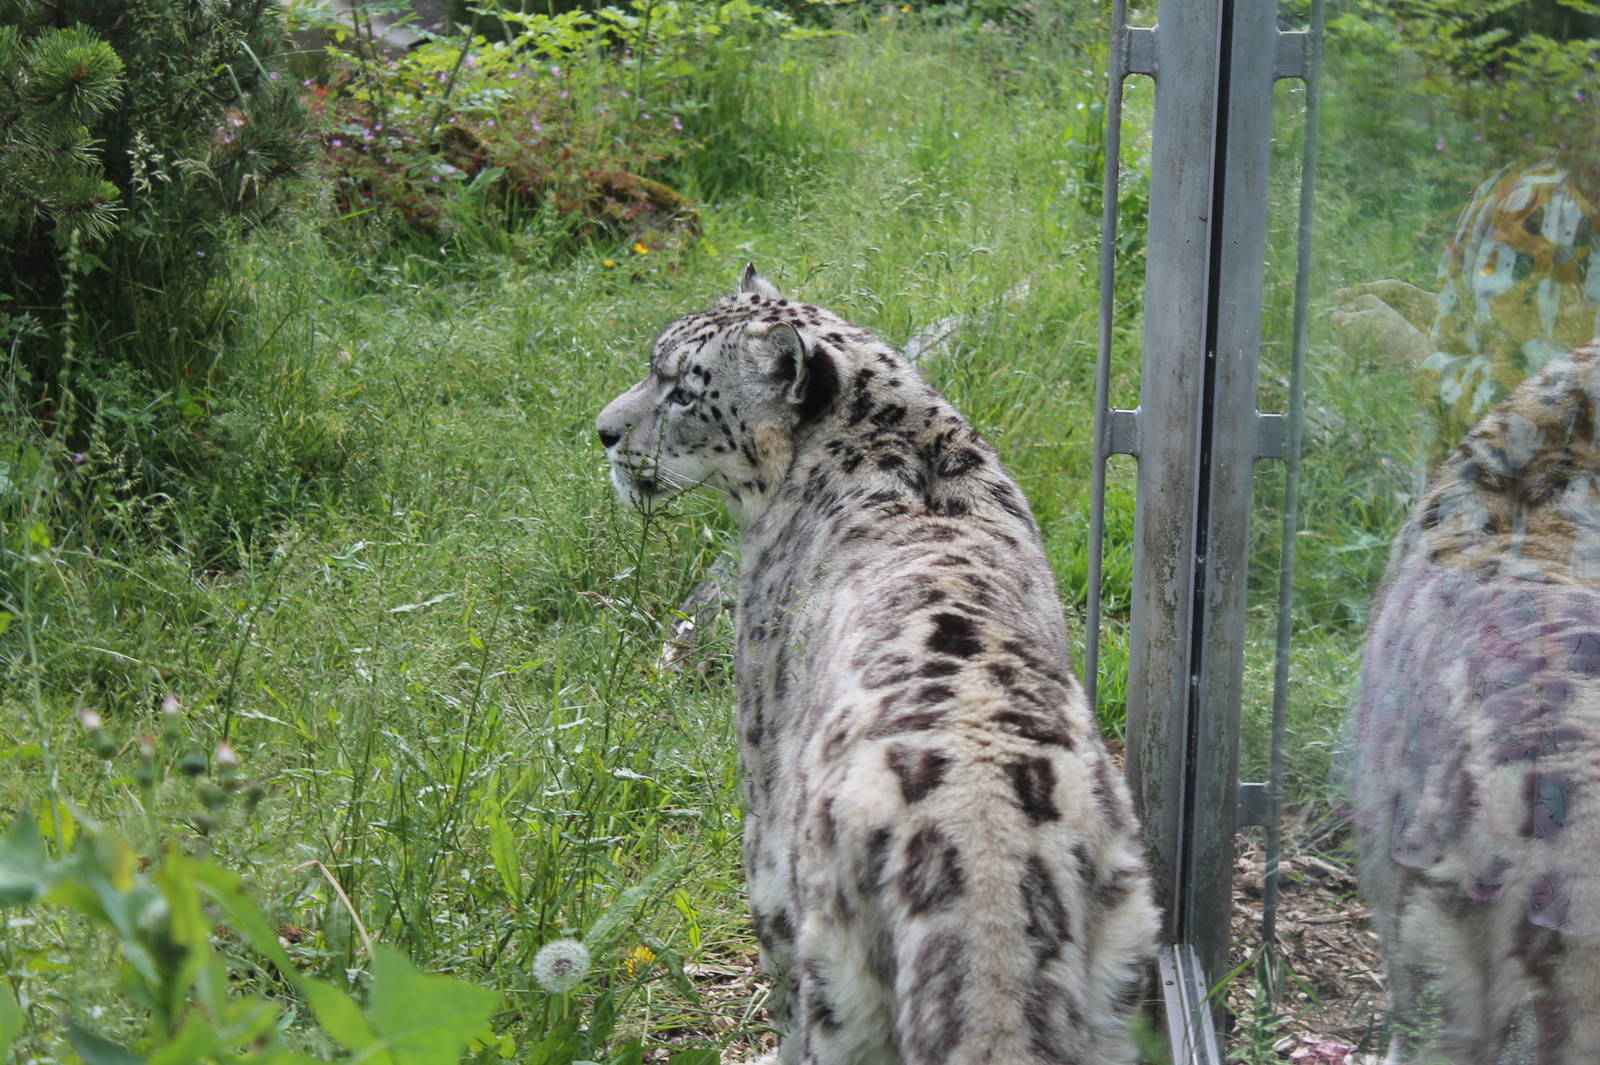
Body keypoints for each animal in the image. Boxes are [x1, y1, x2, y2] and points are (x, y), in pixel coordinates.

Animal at [595, 266, 1159, 1065]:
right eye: (654, 366)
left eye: (683, 389)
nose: (604, 432)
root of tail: (985, 837)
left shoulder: (758, 797)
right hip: (1121, 973)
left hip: (836, 968)